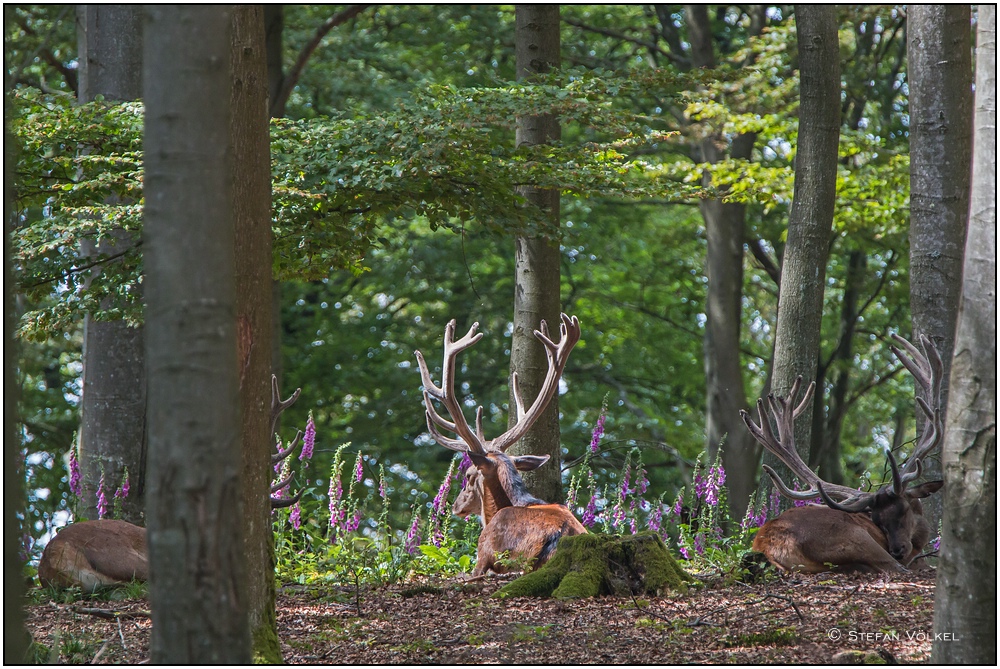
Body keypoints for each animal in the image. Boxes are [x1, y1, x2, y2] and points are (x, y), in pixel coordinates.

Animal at [744, 334, 944, 576]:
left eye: (903, 509)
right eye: (878, 520)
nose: (898, 550)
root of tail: (768, 544)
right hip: (855, 537)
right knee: (891, 567)